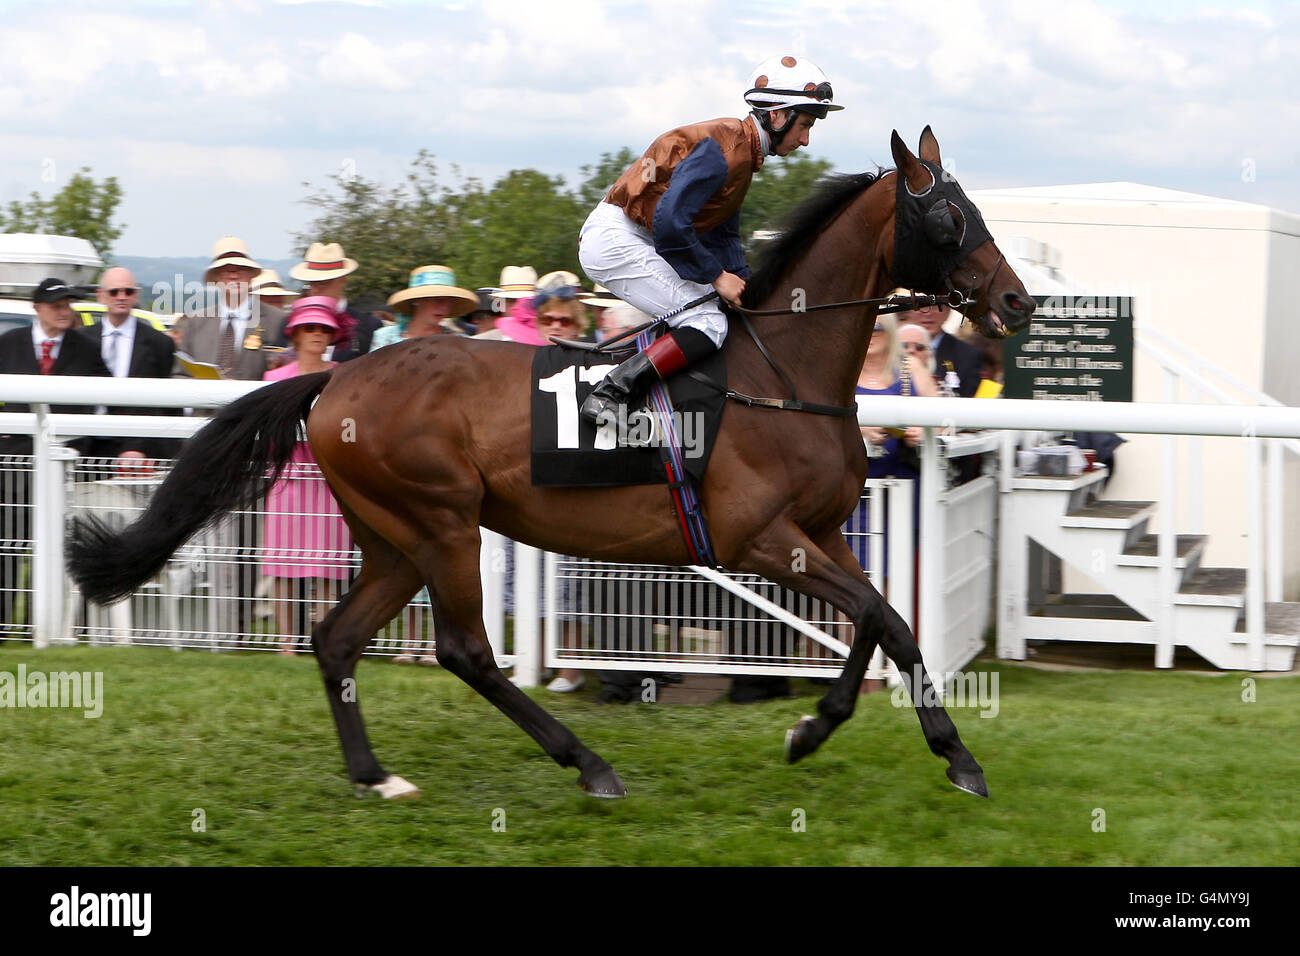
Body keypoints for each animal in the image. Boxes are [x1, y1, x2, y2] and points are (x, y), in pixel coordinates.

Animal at [68, 127, 1034, 801]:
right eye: (947, 218)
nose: (1019, 300)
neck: (782, 373)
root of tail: (334, 376)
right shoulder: (758, 540)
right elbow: (883, 619)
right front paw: (920, 750)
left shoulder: (825, 532)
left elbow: (884, 620)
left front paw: (843, 734)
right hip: (442, 523)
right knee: (465, 650)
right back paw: (588, 764)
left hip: (393, 539)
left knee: (336, 637)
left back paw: (376, 775)